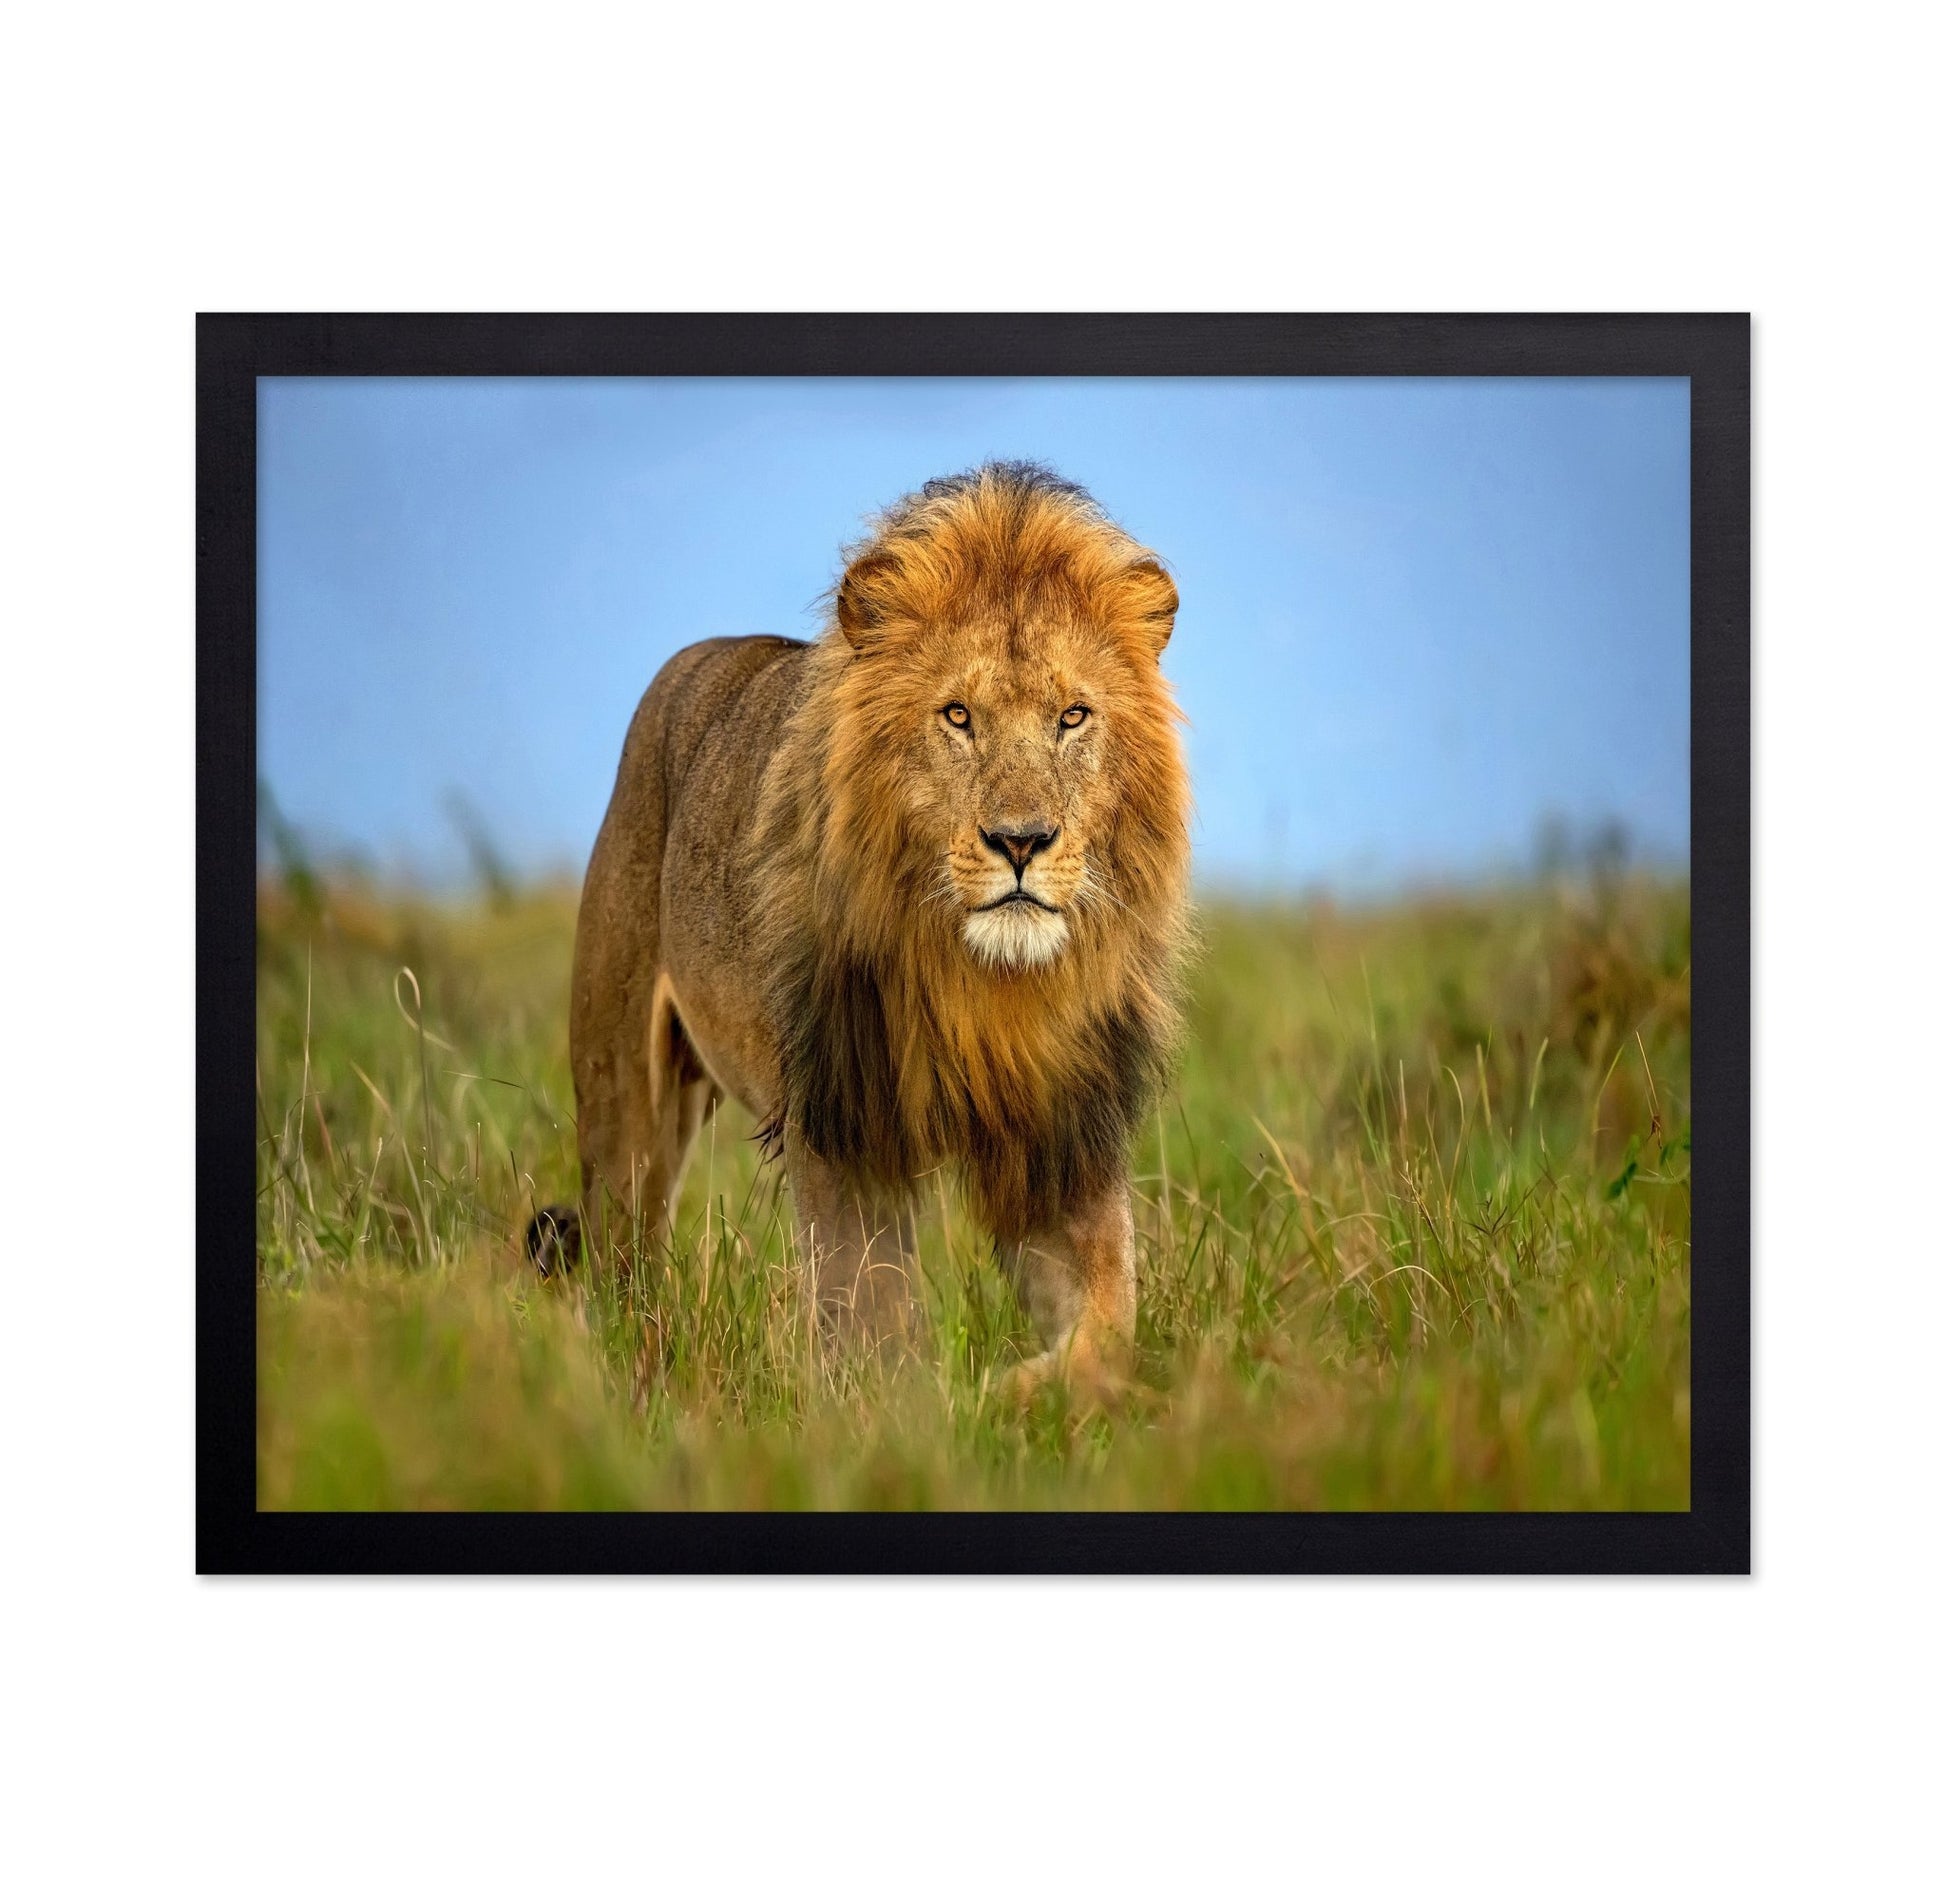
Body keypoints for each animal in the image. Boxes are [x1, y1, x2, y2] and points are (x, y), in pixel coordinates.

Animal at [527, 461, 1191, 1398]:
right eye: (957, 716)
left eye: (1073, 716)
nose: (1021, 840)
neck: (985, 984)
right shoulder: (844, 1125)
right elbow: (871, 1320)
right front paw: (924, 1408)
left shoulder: (1062, 1137)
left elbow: (1108, 1331)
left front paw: (1014, 1390)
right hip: (620, 1086)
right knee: (623, 1257)